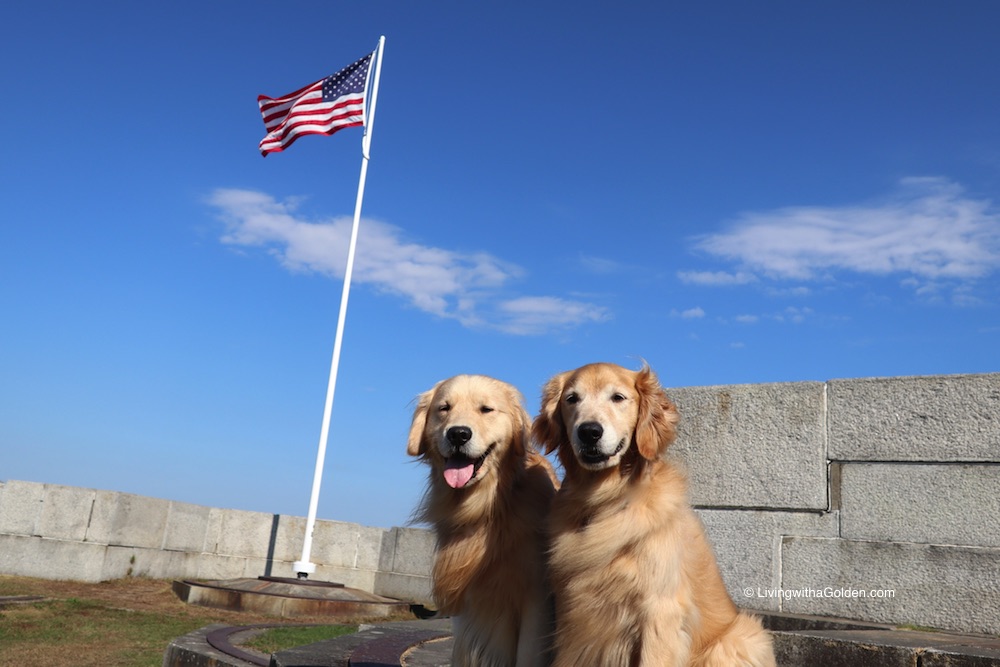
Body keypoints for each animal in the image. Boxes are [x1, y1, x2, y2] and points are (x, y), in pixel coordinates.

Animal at [408, 376, 564, 667]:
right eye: (444, 408)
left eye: (486, 410)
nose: (458, 434)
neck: (489, 506)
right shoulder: (467, 601)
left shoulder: (536, 599)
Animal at [532, 366, 772, 667]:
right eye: (572, 399)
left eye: (618, 397)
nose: (589, 431)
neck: (604, 500)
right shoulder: (571, 614)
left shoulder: (660, 610)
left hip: (740, 639)